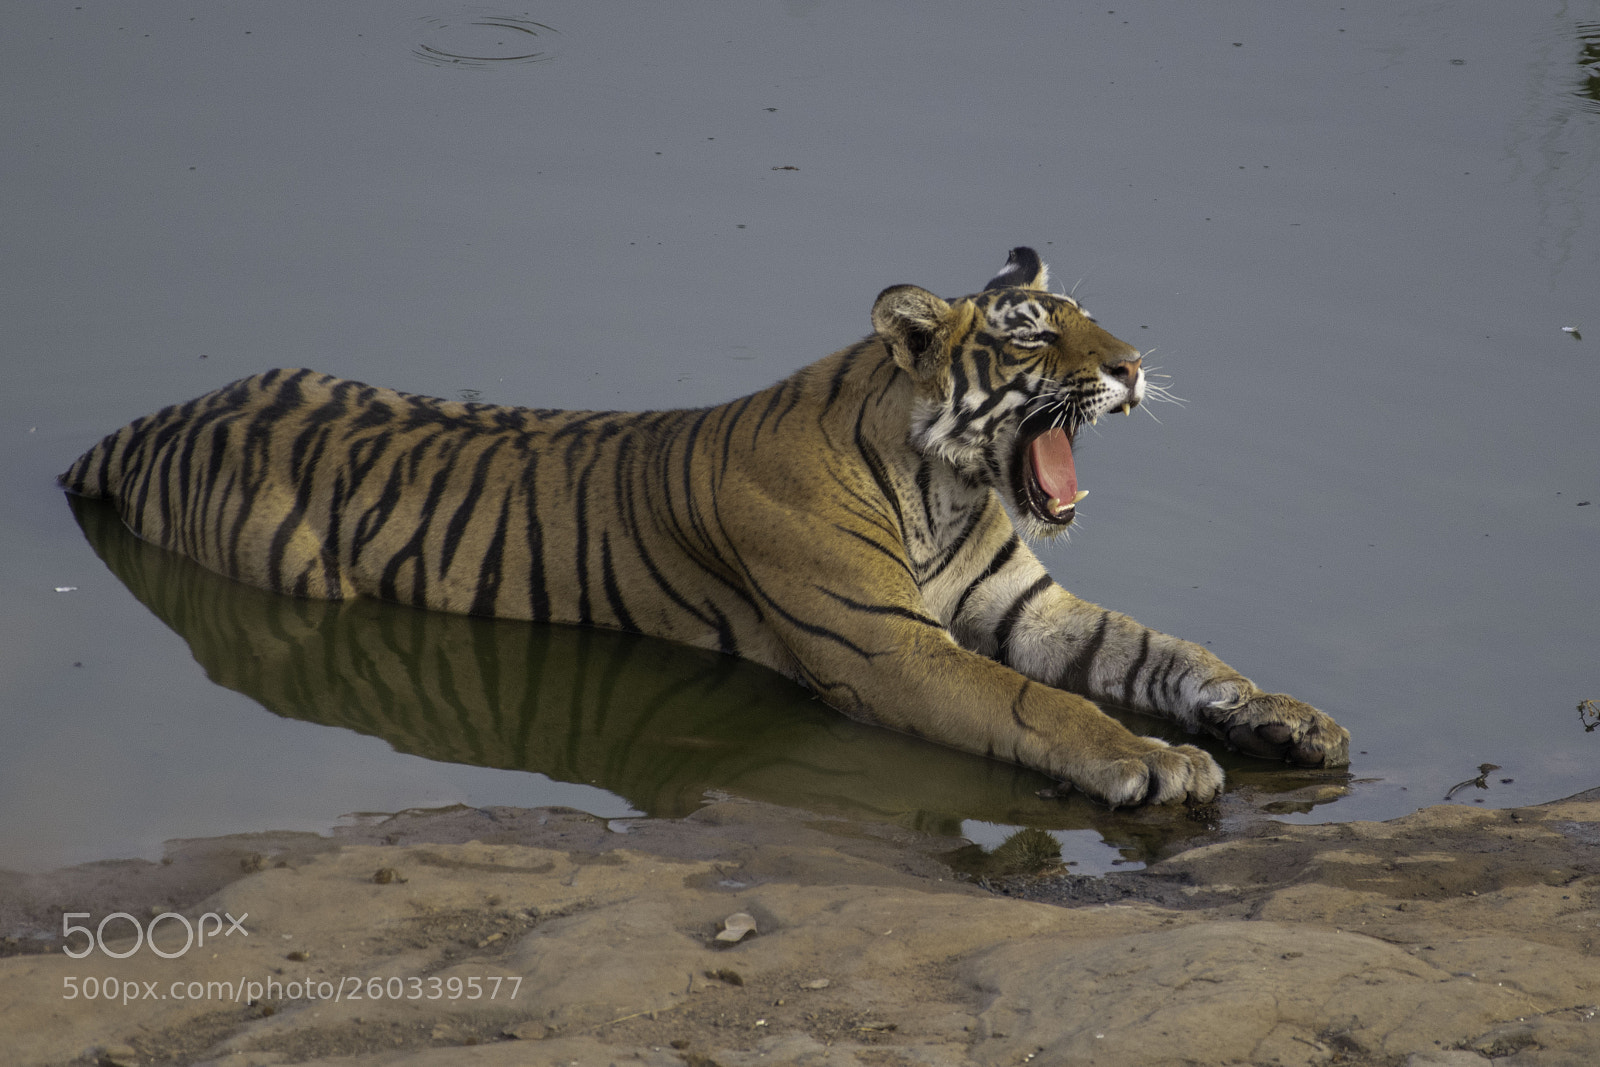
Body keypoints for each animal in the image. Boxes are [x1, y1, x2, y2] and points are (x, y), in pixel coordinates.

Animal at [60, 246, 1349, 807]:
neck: (945, 483)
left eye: (1089, 313)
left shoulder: (1028, 606)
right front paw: (1155, 762)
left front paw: (1282, 717)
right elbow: (1042, 704)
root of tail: (146, 420)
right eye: (1033, 332)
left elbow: (1164, 653)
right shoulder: (890, 648)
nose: (1132, 365)